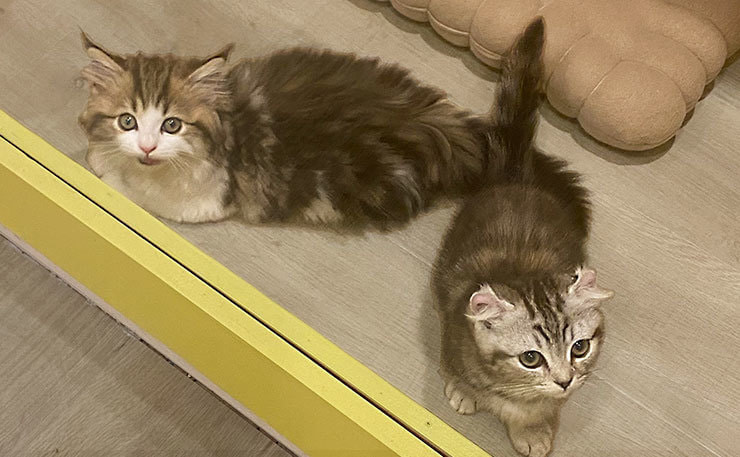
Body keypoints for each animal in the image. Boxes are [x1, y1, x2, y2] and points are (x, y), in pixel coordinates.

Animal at [78, 33, 499, 229]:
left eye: (172, 125)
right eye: (127, 121)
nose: (147, 148)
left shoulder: (206, 200)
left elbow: (128, 189)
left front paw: (104, 172)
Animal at [431, 19, 614, 457]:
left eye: (579, 348)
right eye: (531, 358)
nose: (565, 380)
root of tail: (517, 176)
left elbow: (541, 411)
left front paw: (534, 429)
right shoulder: (452, 336)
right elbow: (457, 371)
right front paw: (464, 392)